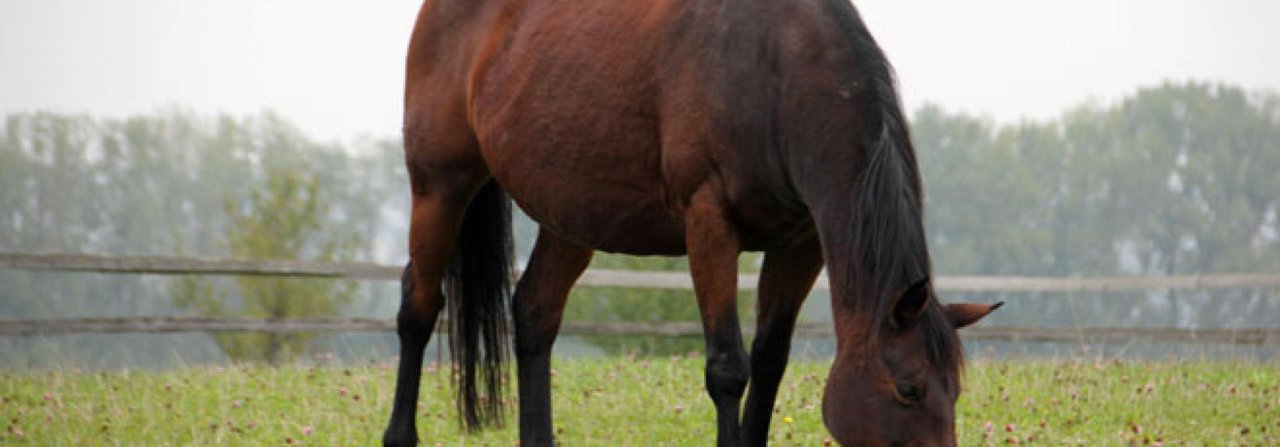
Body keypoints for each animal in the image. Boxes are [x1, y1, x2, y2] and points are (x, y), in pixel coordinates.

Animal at [378, 0, 998, 443]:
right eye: (909, 390)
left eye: (956, 394)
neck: (773, 71)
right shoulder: (710, 225)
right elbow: (728, 368)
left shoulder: (800, 244)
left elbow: (769, 362)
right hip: (440, 185)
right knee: (418, 306)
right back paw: (399, 433)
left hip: (573, 216)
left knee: (534, 312)